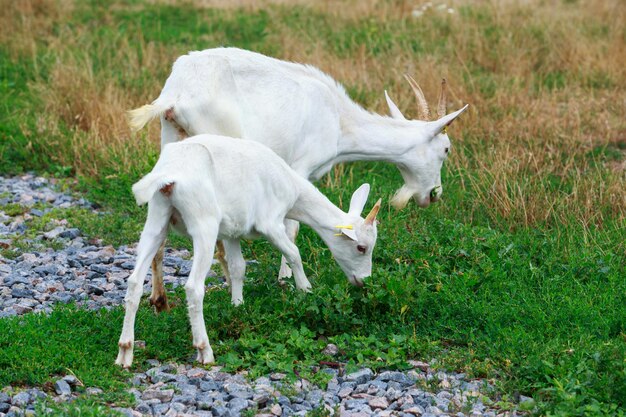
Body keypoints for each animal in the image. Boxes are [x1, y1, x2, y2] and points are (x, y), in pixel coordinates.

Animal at [129, 48, 466, 308]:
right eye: (446, 149)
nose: (434, 194)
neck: (339, 122)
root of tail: (175, 95)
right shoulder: (301, 167)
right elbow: (292, 227)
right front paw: (286, 279)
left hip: (170, 139)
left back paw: (159, 298)